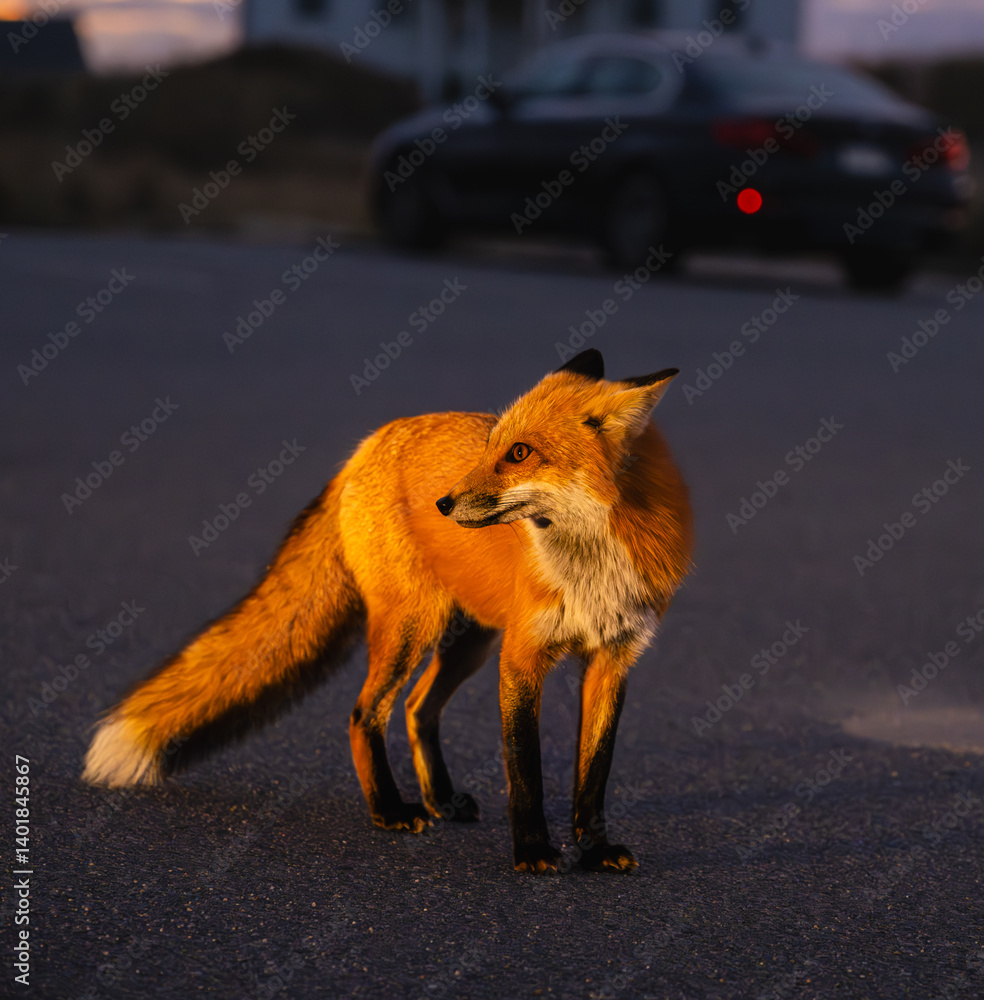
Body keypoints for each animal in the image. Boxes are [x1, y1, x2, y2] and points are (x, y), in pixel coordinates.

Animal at [82, 348, 692, 873]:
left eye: (519, 453)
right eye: (491, 445)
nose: (443, 503)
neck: (590, 564)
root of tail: (372, 441)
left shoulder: (613, 661)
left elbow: (594, 773)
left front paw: (595, 849)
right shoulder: (522, 657)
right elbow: (526, 771)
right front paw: (534, 852)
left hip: (467, 642)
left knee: (418, 707)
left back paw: (440, 798)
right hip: (412, 630)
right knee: (364, 713)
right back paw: (391, 810)